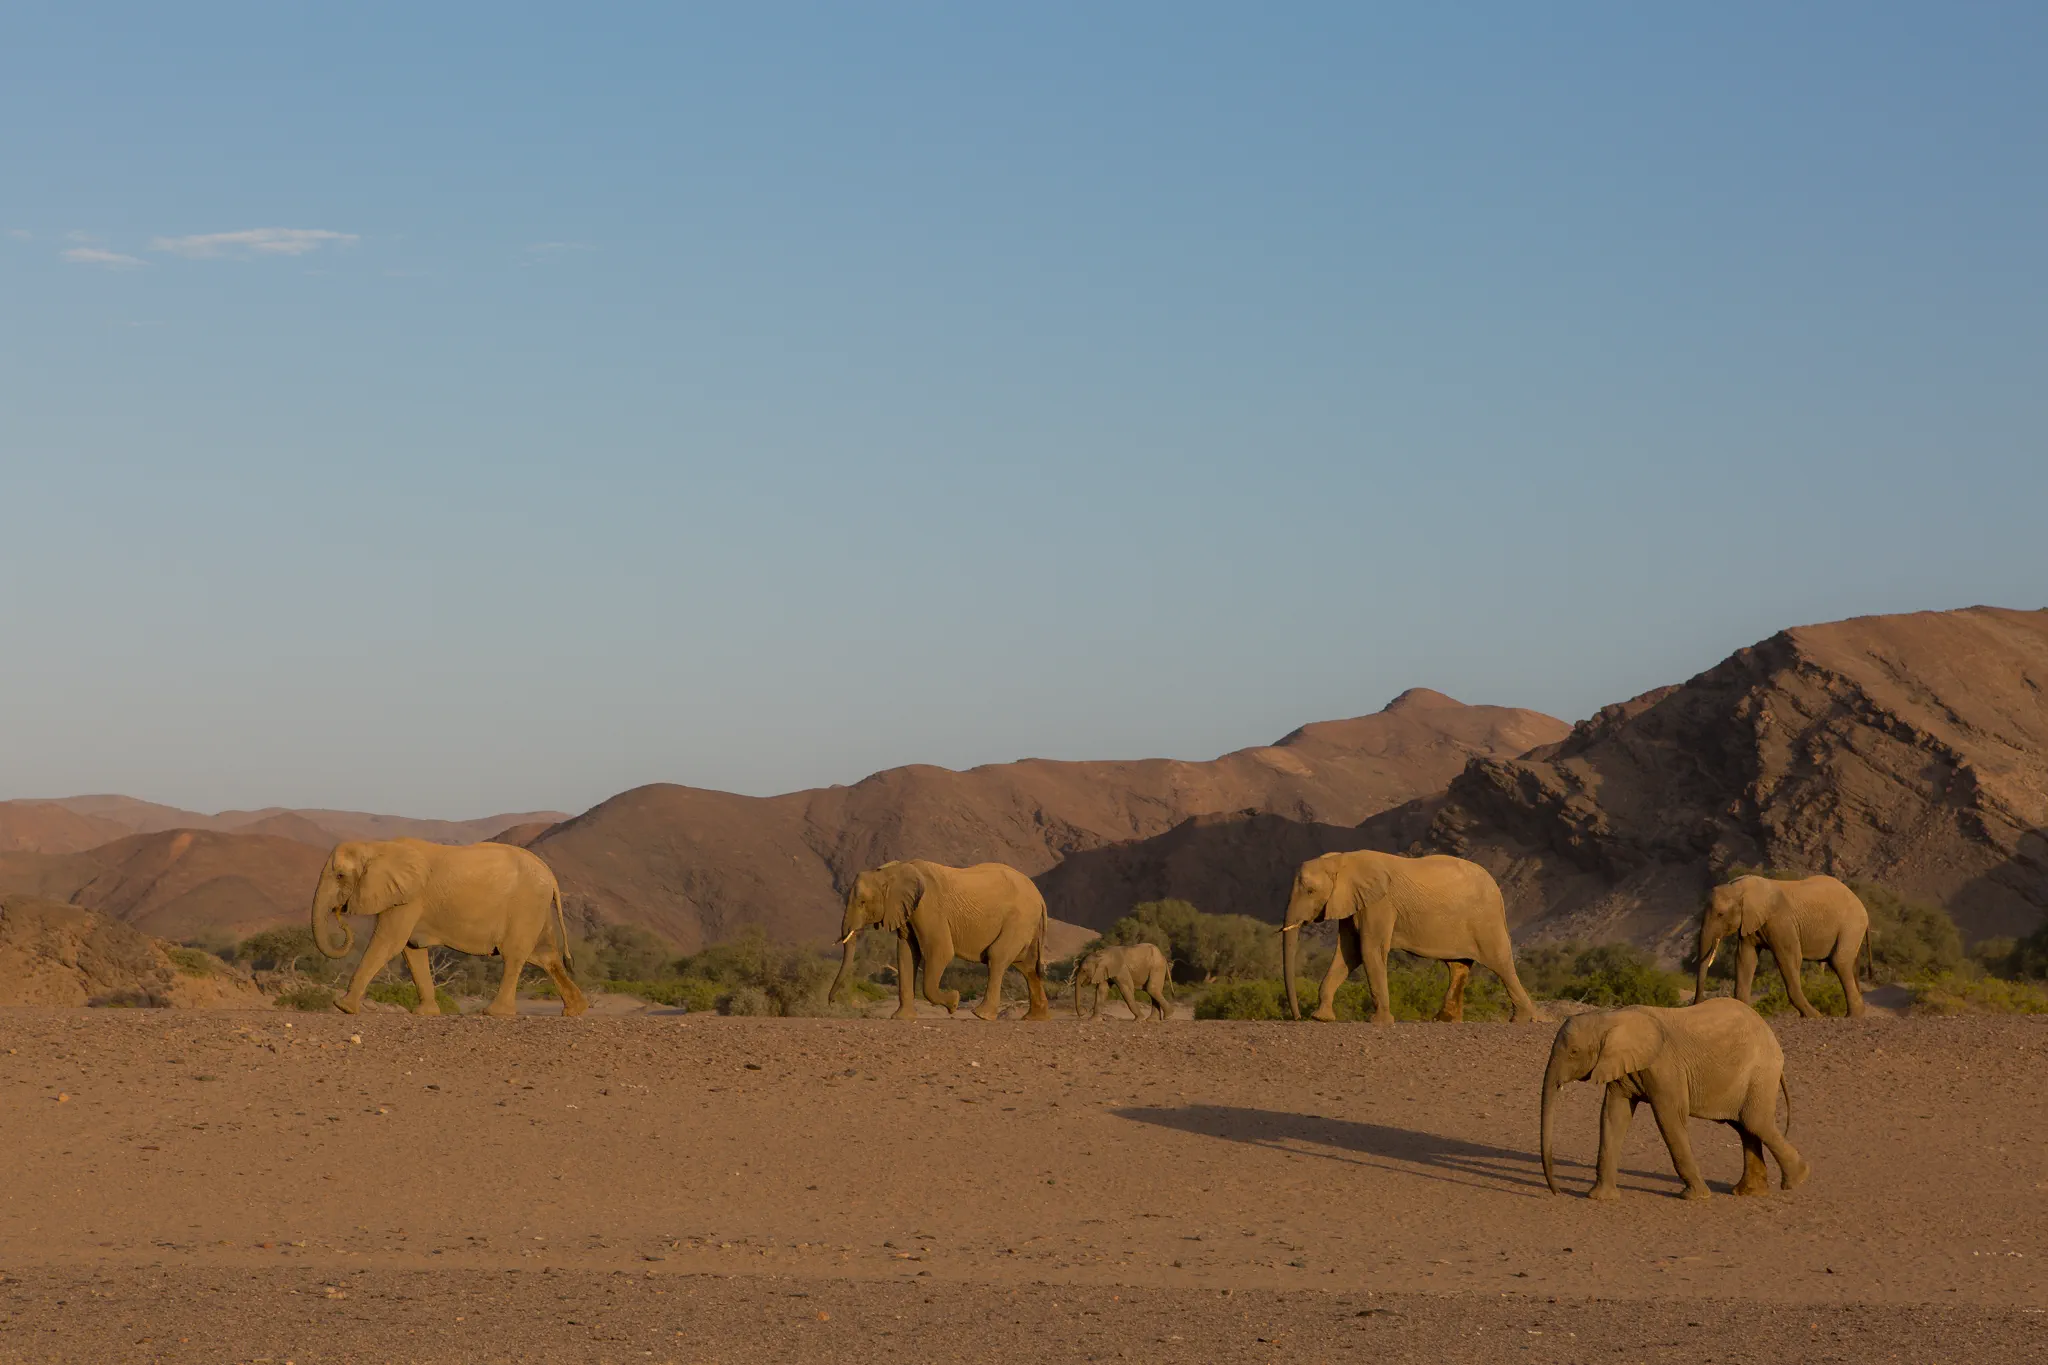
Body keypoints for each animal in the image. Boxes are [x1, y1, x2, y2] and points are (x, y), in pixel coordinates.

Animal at [311, 838, 587, 1019]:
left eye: (340, 876)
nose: (340, 913)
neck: (377, 846)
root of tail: (551, 876)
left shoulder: (410, 898)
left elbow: (389, 942)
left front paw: (343, 1007)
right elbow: (411, 950)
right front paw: (425, 1013)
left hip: (526, 905)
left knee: (514, 955)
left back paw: (495, 1013)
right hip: (536, 908)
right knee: (545, 956)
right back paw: (575, 1010)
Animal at [828, 859, 1051, 1021]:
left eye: (862, 902)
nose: (831, 1003)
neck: (893, 870)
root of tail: (1040, 897)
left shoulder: (928, 907)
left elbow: (941, 951)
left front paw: (953, 1002)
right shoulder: (908, 912)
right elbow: (907, 954)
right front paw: (901, 1018)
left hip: (1019, 919)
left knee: (997, 956)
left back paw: (982, 1015)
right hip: (1026, 924)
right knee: (1027, 966)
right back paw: (1034, 1019)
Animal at [1278, 850, 1539, 1024]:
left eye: (1310, 891)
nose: (1298, 1017)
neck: (1342, 860)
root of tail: (1496, 886)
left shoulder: (1380, 903)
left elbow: (1369, 950)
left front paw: (1380, 1022)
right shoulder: (1353, 902)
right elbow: (1349, 953)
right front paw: (1321, 1018)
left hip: (1486, 920)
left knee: (1501, 964)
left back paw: (1523, 1019)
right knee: (1458, 966)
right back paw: (1444, 1019)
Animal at [1540, 998, 1807, 1201]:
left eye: (1574, 1052)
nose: (1557, 1191)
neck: (1612, 1017)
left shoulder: (1665, 1067)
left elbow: (1669, 1118)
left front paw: (1696, 1197)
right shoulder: (1623, 1067)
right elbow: (1613, 1115)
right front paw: (1600, 1198)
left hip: (1760, 1072)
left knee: (1755, 1122)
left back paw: (1797, 1180)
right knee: (1745, 1127)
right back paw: (1749, 1192)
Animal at [1695, 873, 1871, 1018]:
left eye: (1720, 914)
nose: (1696, 1004)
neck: (1739, 887)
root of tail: (1860, 902)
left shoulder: (1781, 921)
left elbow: (1789, 957)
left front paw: (1814, 1016)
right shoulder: (1750, 923)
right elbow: (1745, 959)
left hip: (1851, 925)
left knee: (1839, 961)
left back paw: (1853, 1015)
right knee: (1851, 964)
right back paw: (1859, 1012)